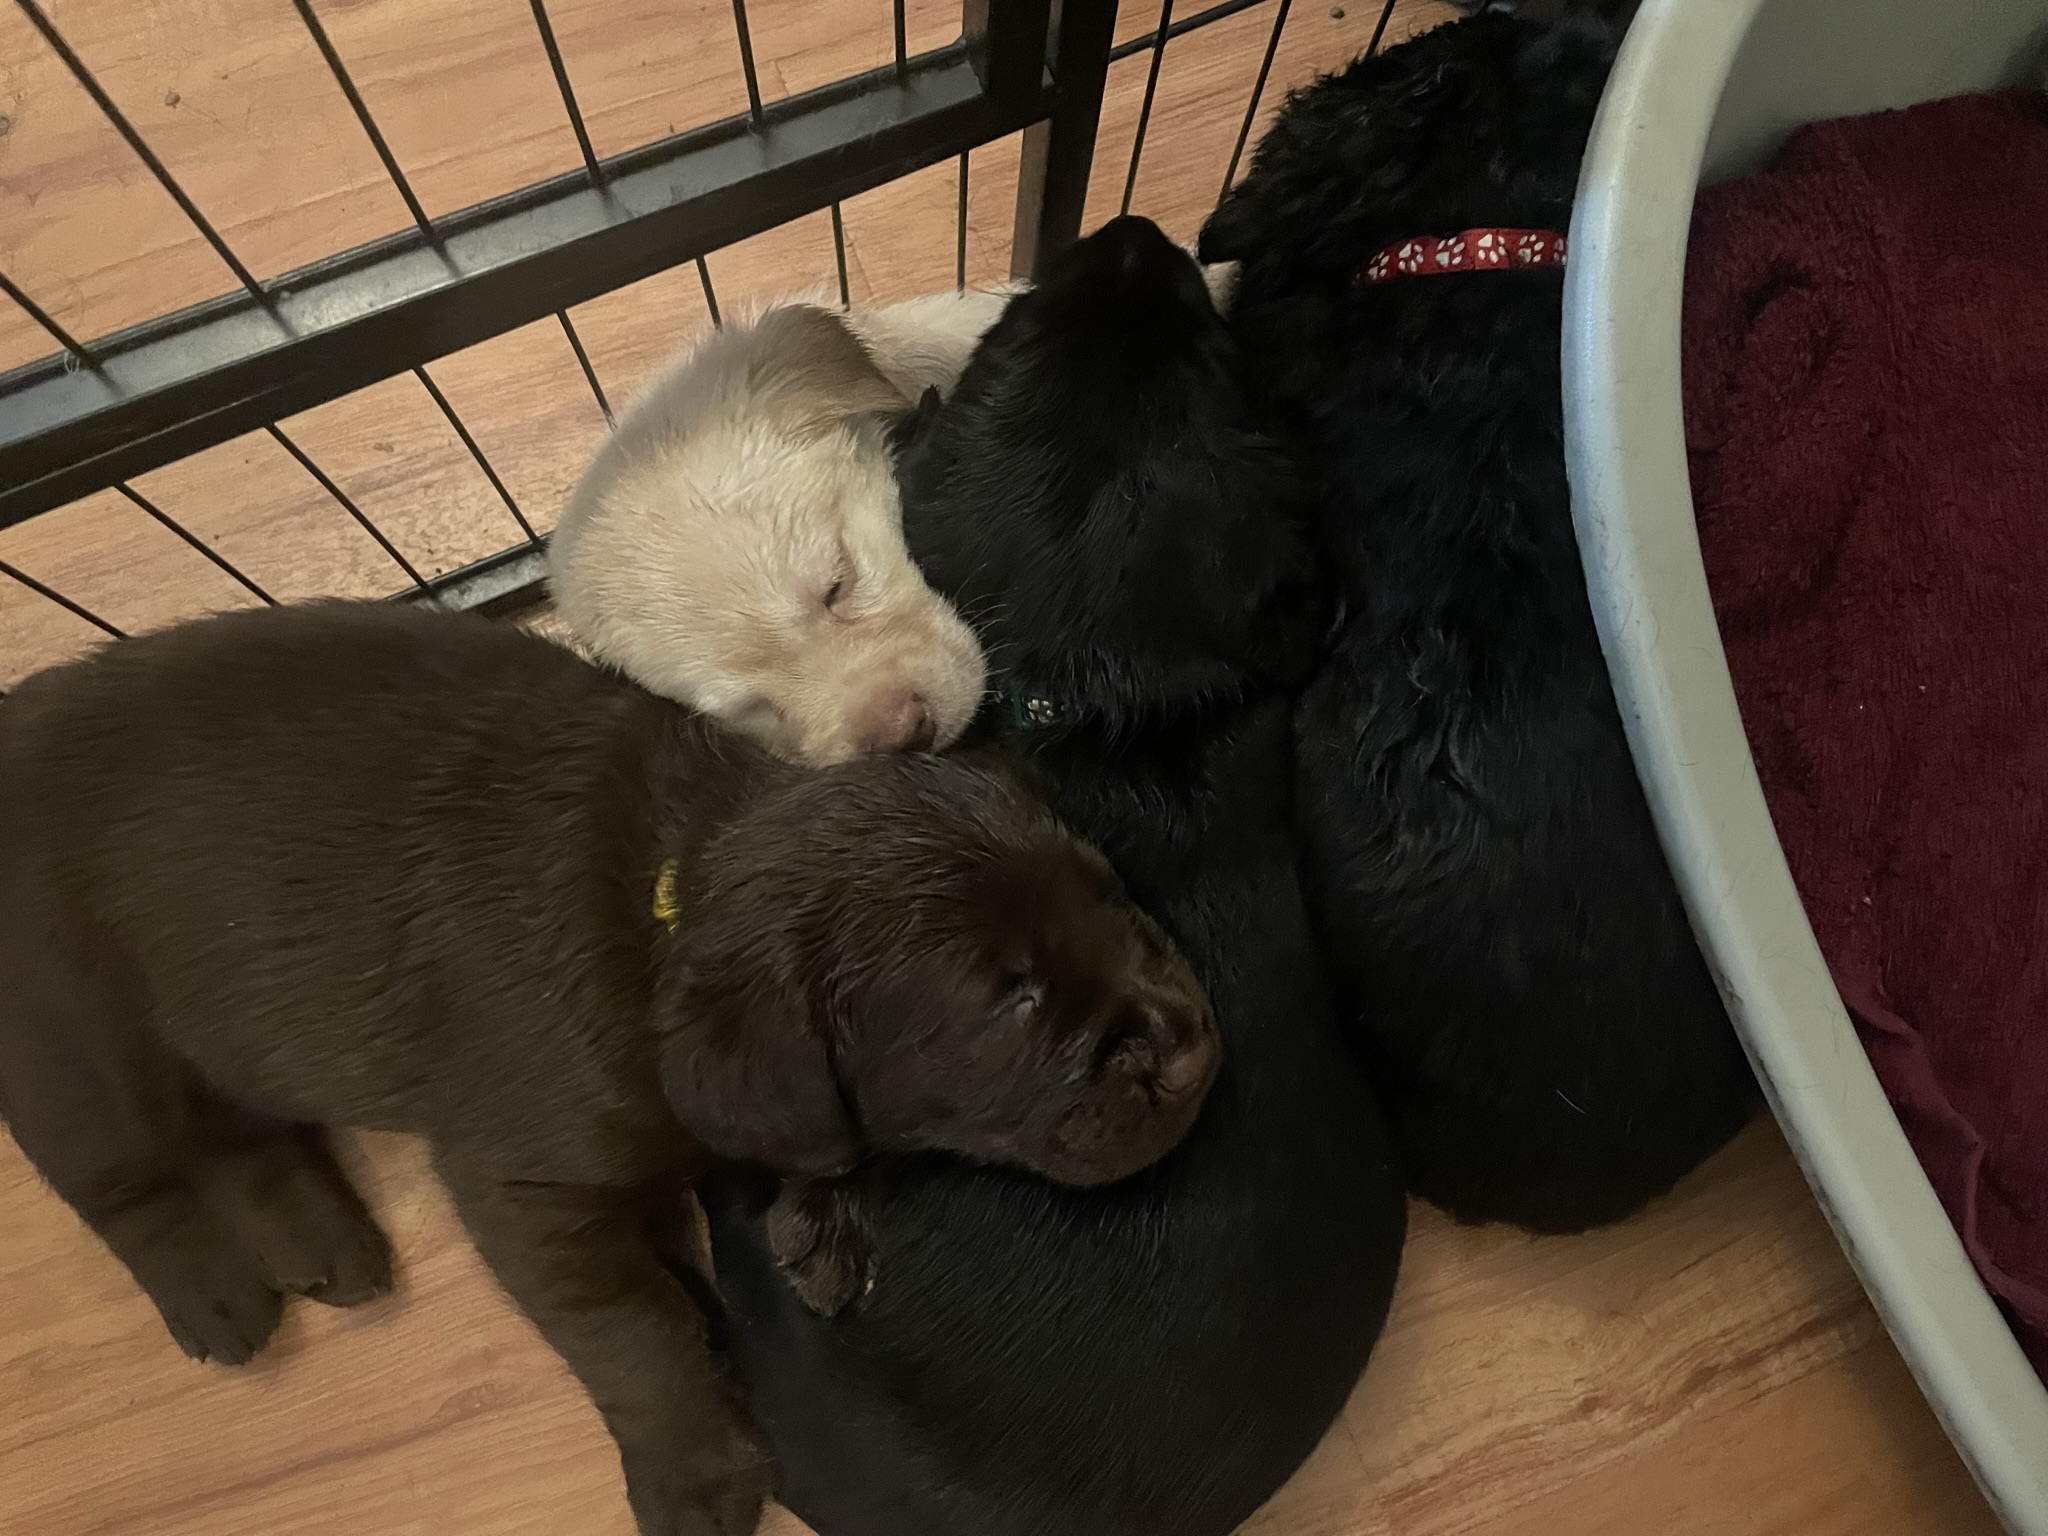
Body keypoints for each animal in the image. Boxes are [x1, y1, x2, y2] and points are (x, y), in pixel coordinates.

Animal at [0, 600, 1221, 1536]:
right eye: (1010, 1004)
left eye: (1112, 894)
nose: (1194, 1045)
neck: (674, 896)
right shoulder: (529, 1191)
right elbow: (642, 1336)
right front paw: (699, 1476)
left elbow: (803, 1141)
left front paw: (821, 1218)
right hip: (73, 1033)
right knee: (121, 1174)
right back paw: (214, 1292)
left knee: (244, 1130)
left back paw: (319, 1239)